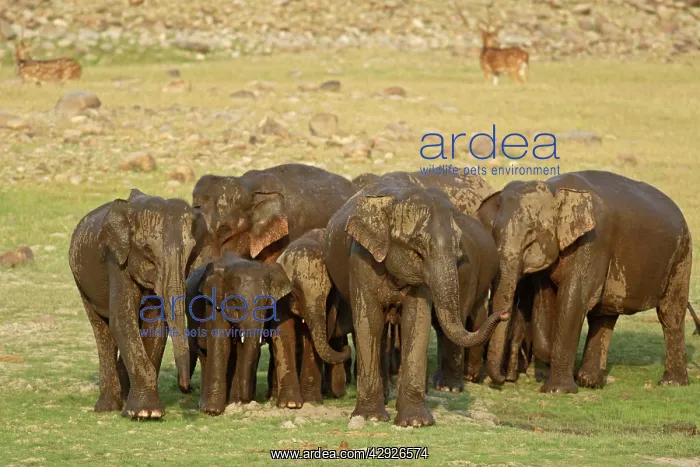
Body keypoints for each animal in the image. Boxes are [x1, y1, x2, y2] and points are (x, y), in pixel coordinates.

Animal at [68, 189, 206, 419]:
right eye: (147, 249)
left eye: (192, 251)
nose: (187, 387)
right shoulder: (115, 260)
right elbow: (122, 319)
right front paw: (145, 413)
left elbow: (156, 326)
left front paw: (145, 411)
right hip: (81, 283)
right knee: (102, 330)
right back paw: (107, 407)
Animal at [185, 252, 292, 415]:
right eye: (235, 302)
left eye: (267, 303)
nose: (248, 400)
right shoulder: (214, 302)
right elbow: (221, 342)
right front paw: (212, 411)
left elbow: (240, 349)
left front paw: (236, 403)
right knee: (203, 352)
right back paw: (203, 405)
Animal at [276, 229, 354, 405]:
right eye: (296, 292)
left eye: (328, 292)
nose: (348, 349)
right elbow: (283, 332)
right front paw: (290, 404)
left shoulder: (334, 299)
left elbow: (318, 334)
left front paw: (311, 402)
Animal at [324, 178, 508, 427]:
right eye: (418, 247)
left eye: (457, 247)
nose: (504, 313)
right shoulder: (360, 258)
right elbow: (369, 321)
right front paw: (370, 417)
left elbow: (416, 320)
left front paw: (416, 422)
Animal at [477, 170, 694, 393]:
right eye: (493, 234)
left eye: (531, 237)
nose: (503, 379)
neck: (556, 189)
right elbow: (545, 300)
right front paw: (559, 365)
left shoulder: (593, 240)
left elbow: (574, 299)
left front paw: (558, 391)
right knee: (604, 314)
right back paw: (591, 382)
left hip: (682, 255)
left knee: (670, 313)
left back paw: (672, 383)